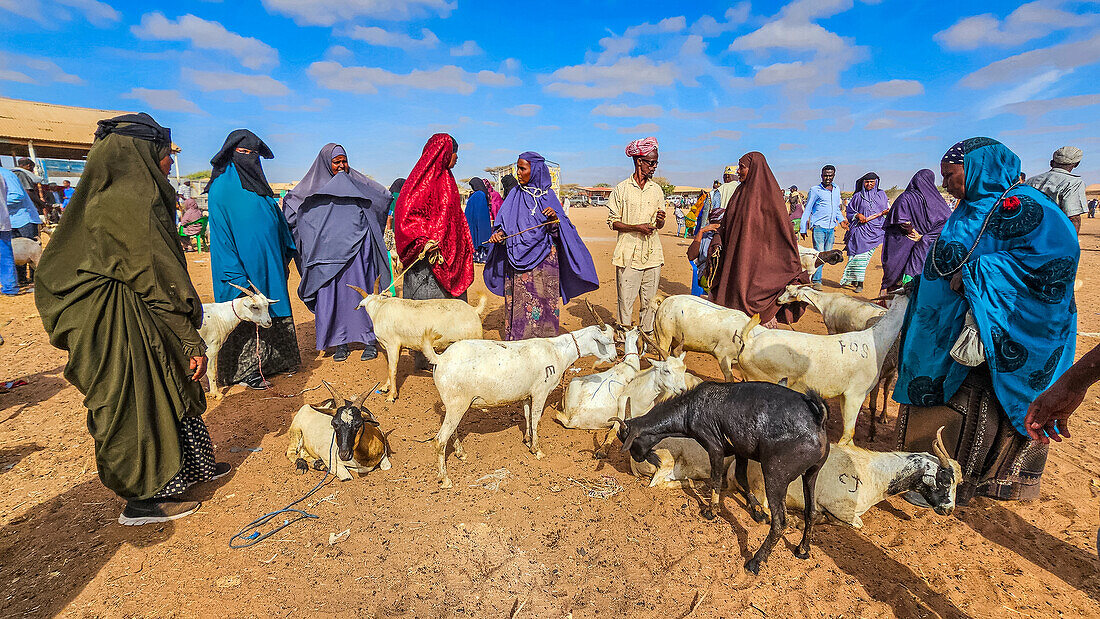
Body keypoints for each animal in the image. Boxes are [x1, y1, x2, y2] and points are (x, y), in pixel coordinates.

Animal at [343, 283, 481, 402]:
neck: (379, 308)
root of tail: (474, 310)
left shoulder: (392, 344)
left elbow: (392, 369)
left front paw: (392, 396)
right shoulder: (398, 346)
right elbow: (390, 366)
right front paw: (385, 387)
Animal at [420, 325, 620, 490]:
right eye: (606, 341)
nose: (615, 357)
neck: (558, 351)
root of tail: (440, 358)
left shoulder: (526, 395)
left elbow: (527, 416)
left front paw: (528, 441)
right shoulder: (540, 391)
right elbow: (536, 418)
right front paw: (537, 450)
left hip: (453, 405)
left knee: (451, 431)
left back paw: (460, 453)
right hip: (457, 404)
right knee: (440, 440)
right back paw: (445, 479)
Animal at [611, 382, 827, 576]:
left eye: (630, 441)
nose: (638, 458)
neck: (690, 408)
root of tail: (817, 420)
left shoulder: (714, 446)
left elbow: (715, 479)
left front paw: (711, 510)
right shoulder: (741, 451)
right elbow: (741, 478)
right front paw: (757, 511)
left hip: (775, 475)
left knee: (781, 521)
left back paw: (755, 561)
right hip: (812, 472)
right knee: (811, 511)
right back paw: (802, 549)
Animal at [743, 430, 959, 527]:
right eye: (944, 480)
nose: (949, 510)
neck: (875, 473)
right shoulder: (837, 505)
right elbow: (856, 523)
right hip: (763, 489)